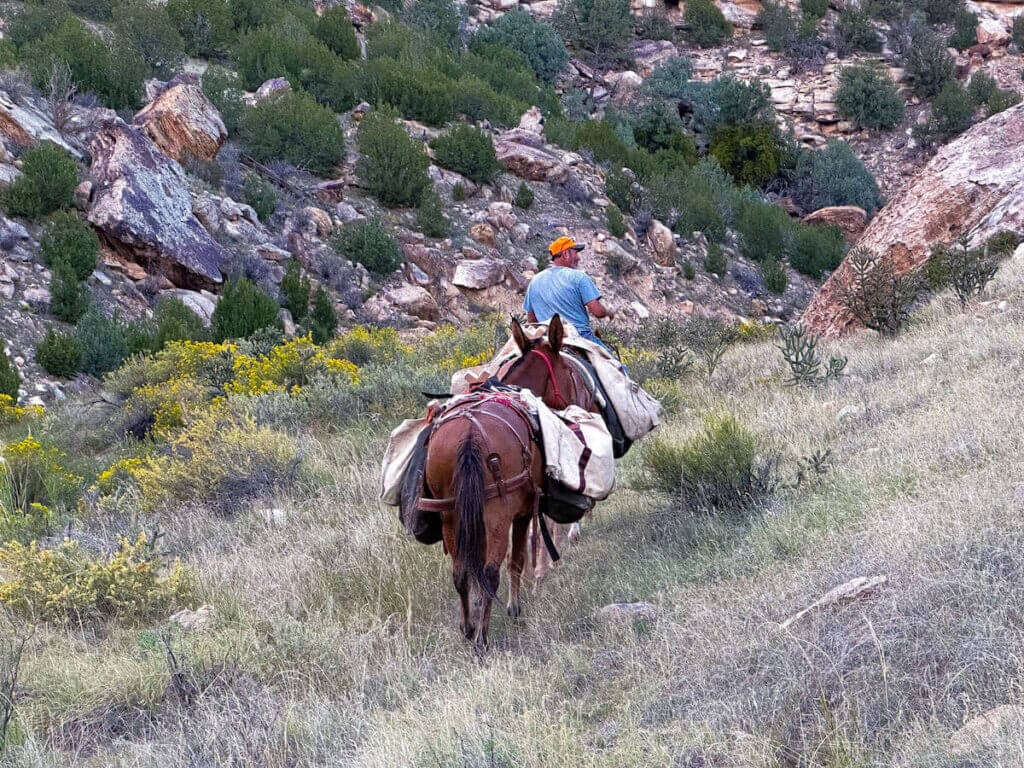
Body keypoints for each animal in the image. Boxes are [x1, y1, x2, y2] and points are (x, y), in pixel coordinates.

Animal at [422, 392, 544, 647]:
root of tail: (471, 436)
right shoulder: (523, 515)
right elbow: (516, 560)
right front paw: (513, 608)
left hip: (452, 515)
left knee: (460, 573)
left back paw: (468, 628)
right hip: (498, 515)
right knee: (490, 572)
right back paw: (481, 638)